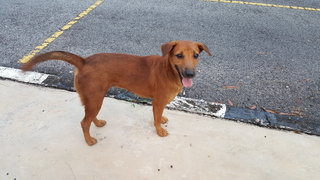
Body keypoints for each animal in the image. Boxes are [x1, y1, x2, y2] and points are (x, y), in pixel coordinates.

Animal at [22, 40, 212, 146]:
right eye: (179, 55)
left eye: (196, 55)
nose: (190, 74)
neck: (168, 70)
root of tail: (84, 61)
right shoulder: (157, 102)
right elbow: (156, 119)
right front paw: (159, 130)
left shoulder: (161, 103)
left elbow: (160, 116)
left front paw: (163, 120)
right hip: (95, 98)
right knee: (84, 122)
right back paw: (89, 141)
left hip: (93, 98)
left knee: (89, 117)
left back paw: (97, 123)